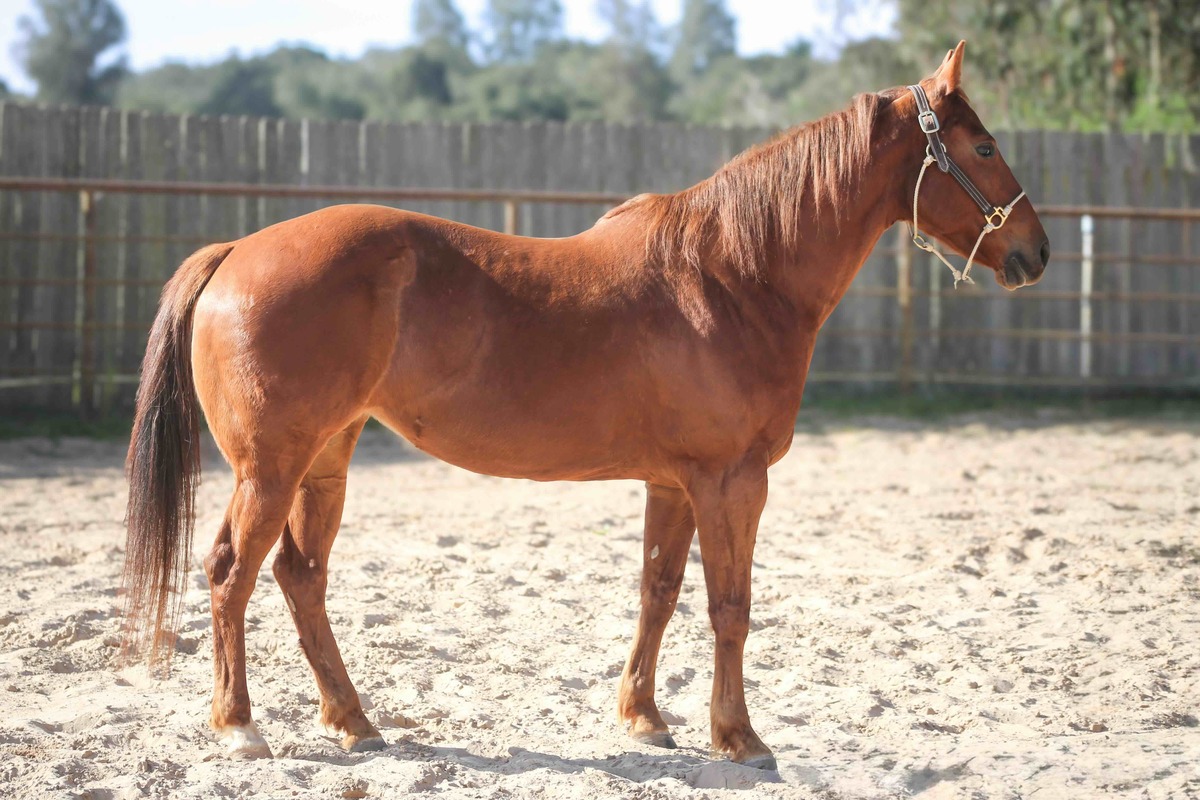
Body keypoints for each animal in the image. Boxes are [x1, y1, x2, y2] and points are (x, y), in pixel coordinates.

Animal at [122, 41, 1049, 769]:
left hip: (326, 460)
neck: (735, 275)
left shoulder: (674, 484)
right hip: (270, 468)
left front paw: (644, 719)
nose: (1035, 252)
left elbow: (658, 591)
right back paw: (240, 728)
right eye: (983, 145)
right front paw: (740, 737)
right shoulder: (732, 480)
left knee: (299, 576)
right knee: (231, 572)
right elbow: (730, 606)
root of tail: (237, 250)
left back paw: (354, 722)